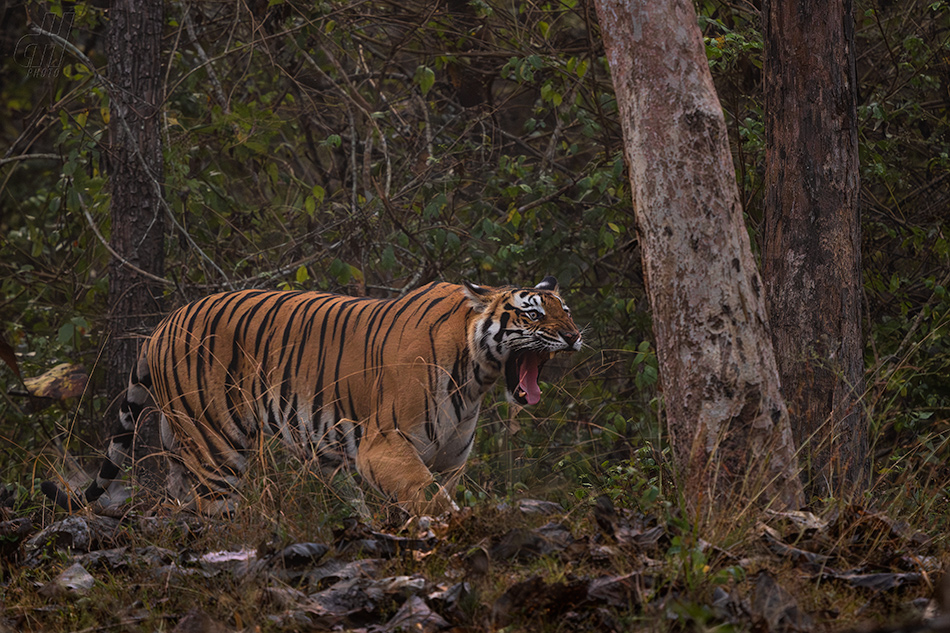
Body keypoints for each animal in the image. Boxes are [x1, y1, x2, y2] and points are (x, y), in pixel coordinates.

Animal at [44, 276, 584, 512]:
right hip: (217, 449)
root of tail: (162, 325)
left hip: (182, 443)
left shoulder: (449, 460)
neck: (475, 377)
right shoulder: (384, 449)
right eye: (533, 313)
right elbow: (432, 503)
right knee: (212, 512)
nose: (576, 335)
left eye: (567, 310)